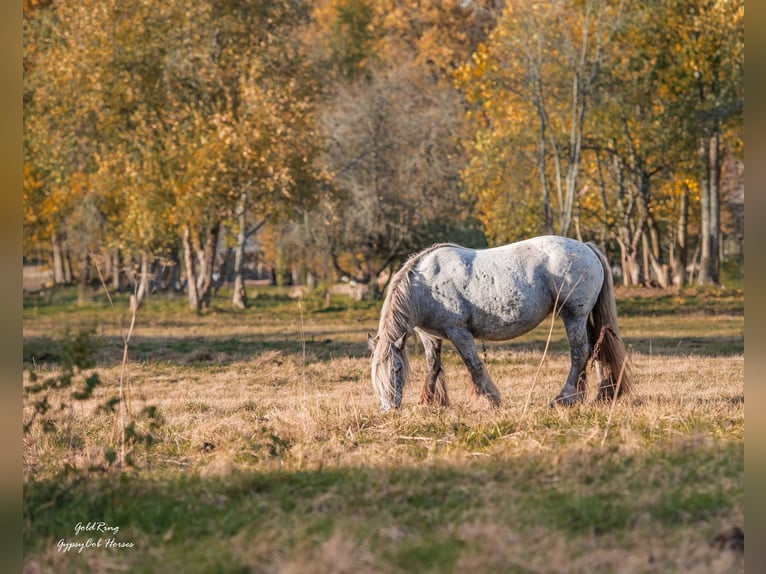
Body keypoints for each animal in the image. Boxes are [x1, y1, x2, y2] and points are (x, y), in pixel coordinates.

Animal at [368, 236, 632, 412]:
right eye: (374, 373)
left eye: (397, 369)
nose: (389, 408)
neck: (425, 285)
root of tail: (586, 247)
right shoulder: (430, 336)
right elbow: (433, 367)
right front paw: (428, 403)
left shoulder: (459, 332)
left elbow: (473, 365)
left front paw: (490, 400)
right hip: (583, 317)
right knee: (597, 347)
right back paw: (601, 394)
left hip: (573, 315)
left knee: (580, 352)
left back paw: (565, 397)